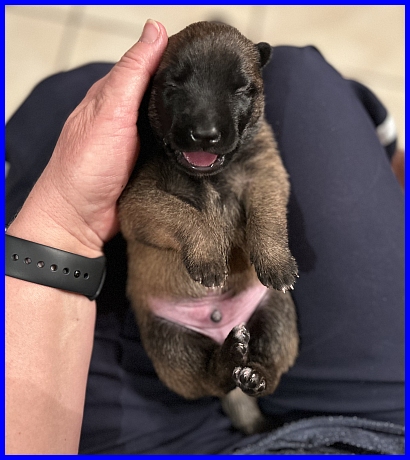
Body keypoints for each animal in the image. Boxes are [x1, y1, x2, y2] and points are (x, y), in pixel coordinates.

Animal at [118, 21, 299, 434]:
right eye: (171, 86)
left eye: (241, 89)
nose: (204, 134)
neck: (209, 175)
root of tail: (222, 327)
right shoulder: (136, 203)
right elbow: (187, 214)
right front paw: (209, 258)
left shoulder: (267, 174)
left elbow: (267, 215)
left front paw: (276, 262)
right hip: (170, 344)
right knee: (209, 380)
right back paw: (229, 358)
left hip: (278, 318)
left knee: (267, 369)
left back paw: (253, 373)